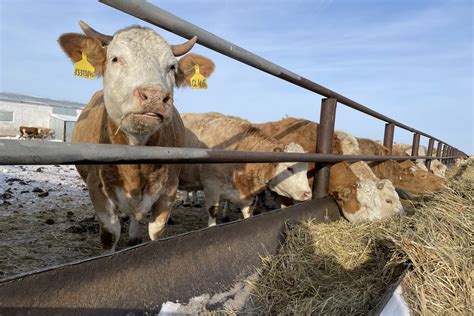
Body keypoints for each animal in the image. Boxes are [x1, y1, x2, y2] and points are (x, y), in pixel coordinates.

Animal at [57, 21, 215, 251]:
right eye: (115, 58)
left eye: (172, 67)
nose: (155, 97)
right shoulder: (97, 187)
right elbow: (110, 234)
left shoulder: (169, 187)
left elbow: (157, 230)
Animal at [178, 112, 312, 226]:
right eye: (289, 168)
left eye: (305, 169)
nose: (308, 194)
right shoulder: (211, 186)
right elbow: (213, 212)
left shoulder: (246, 197)